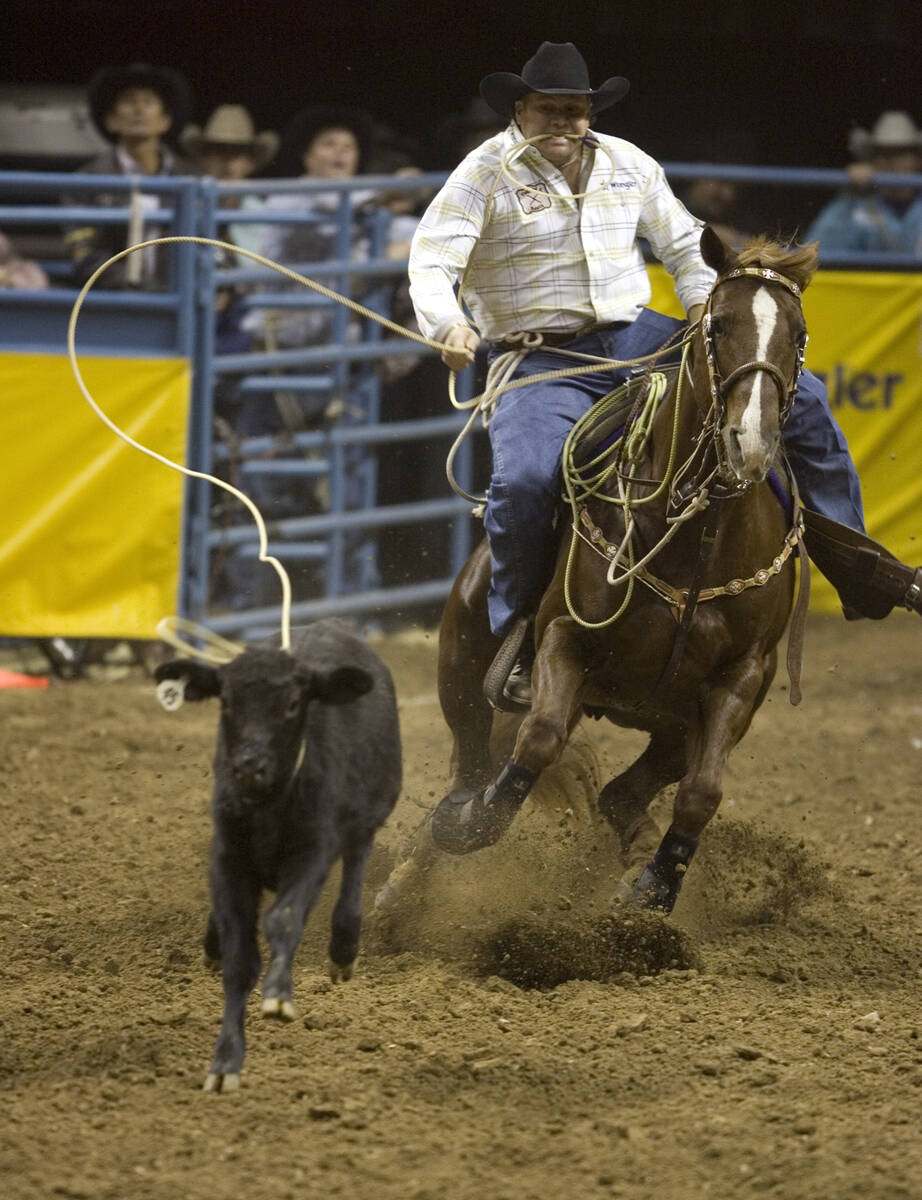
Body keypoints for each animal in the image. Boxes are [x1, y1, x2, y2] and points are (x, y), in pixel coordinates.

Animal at [154, 624, 398, 1094]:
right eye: (226, 701)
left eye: (291, 704)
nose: (249, 767)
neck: (268, 803)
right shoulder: (228, 857)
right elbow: (238, 959)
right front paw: (225, 1061)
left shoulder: (312, 852)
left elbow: (283, 920)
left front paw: (278, 996)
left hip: (369, 814)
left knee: (355, 866)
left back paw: (344, 949)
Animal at [432, 229, 816, 912]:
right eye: (718, 325)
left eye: (796, 334)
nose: (750, 440)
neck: (693, 534)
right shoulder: (564, 637)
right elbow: (539, 736)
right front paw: (481, 818)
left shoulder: (743, 676)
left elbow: (703, 792)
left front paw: (654, 890)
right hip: (463, 653)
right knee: (474, 749)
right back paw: (446, 826)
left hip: (673, 726)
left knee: (624, 792)